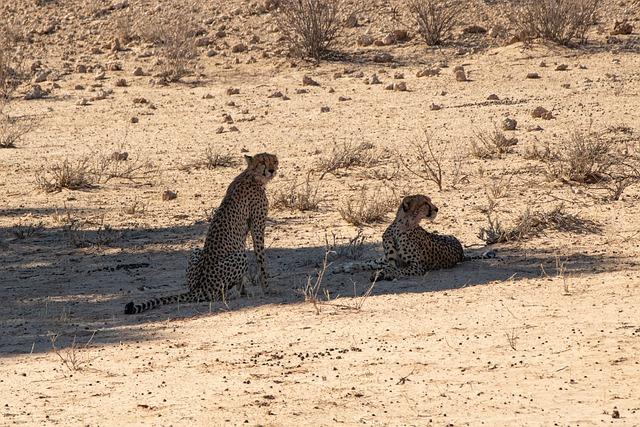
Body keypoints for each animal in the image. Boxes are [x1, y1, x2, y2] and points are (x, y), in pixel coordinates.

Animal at [122, 153, 278, 314]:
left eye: (274, 161)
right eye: (262, 162)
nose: (272, 170)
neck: (252, 175)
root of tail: (198, 287)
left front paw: (245, 292)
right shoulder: (257, 226)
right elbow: (261, 259)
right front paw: (267, 289)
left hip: (196, 250)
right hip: (239, 257)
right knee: (214, 295)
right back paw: (228, 295)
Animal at [336, 193, 496, 280]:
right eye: (425, 202)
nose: (436, 209)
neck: (402, 226)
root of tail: (462, 252)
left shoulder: (417, 266)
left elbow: (396, 269)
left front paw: (383, 273)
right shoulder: (392, 260)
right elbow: (381, 265)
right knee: (371, 261)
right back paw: (346, 266)